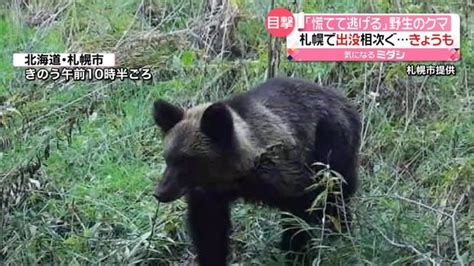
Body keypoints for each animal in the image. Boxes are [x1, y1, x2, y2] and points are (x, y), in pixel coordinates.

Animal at [151, 76, 360, 264]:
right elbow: (209, 231)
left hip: (331, 146)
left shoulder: (288, 178)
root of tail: (346, 101)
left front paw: (297, 253)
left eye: (187, 160)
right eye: (168, 157)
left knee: (336, 195)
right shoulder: (209, 196)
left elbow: (298, 218)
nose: (160, 192)